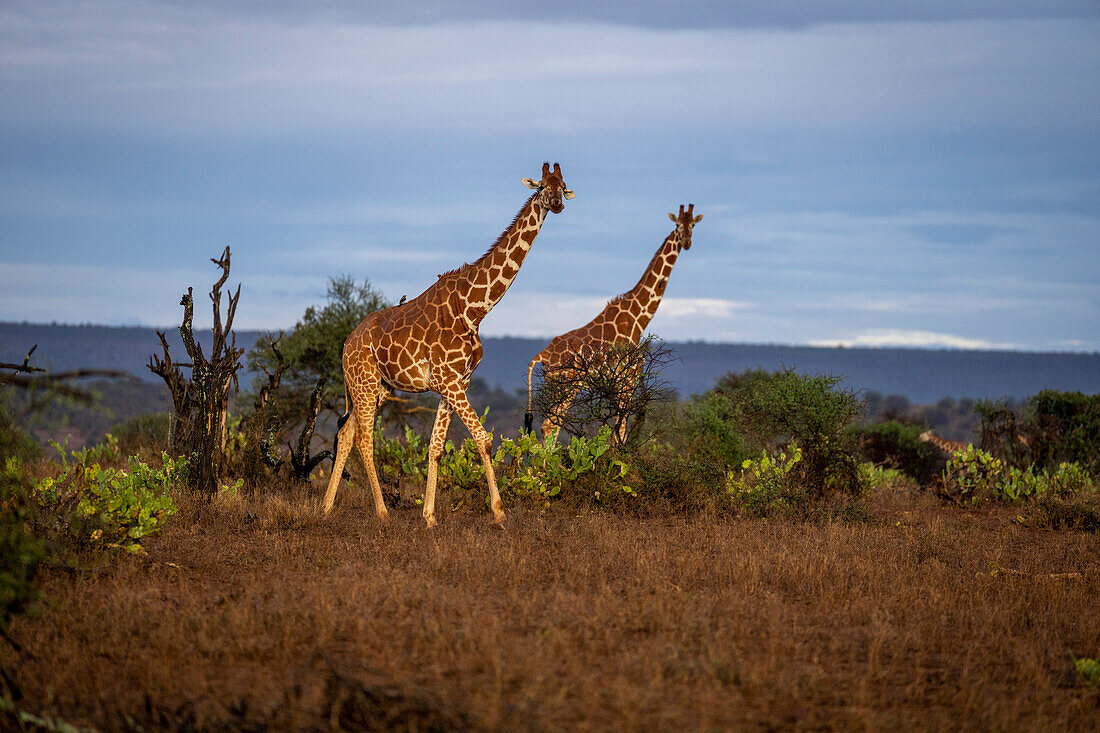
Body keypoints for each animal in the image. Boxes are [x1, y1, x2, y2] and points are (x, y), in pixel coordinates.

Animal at [321, 161, 572, 521]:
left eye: (562, 186)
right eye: (541, 186)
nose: (557, 204)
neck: (475, 308)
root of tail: (345, 344)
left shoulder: (455, 382)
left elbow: (436, 447)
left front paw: (429, 517)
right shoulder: (449, 381)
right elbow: (483, 439)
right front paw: (499, 513)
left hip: (377, 387)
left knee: (345, 433)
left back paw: (325, 507)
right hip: (364, 383)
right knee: (364, 439)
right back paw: (382, 512)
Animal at [523, 201, 704, 440]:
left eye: (693, 224)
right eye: (677, 225)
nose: (686, 242)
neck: (639, 317)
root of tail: (542, 356)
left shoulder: (618, 384)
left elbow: (616, 431)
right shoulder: (628, 380)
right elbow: (621, 430)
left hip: (556, 385)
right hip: (565, 385)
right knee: (549, 426)